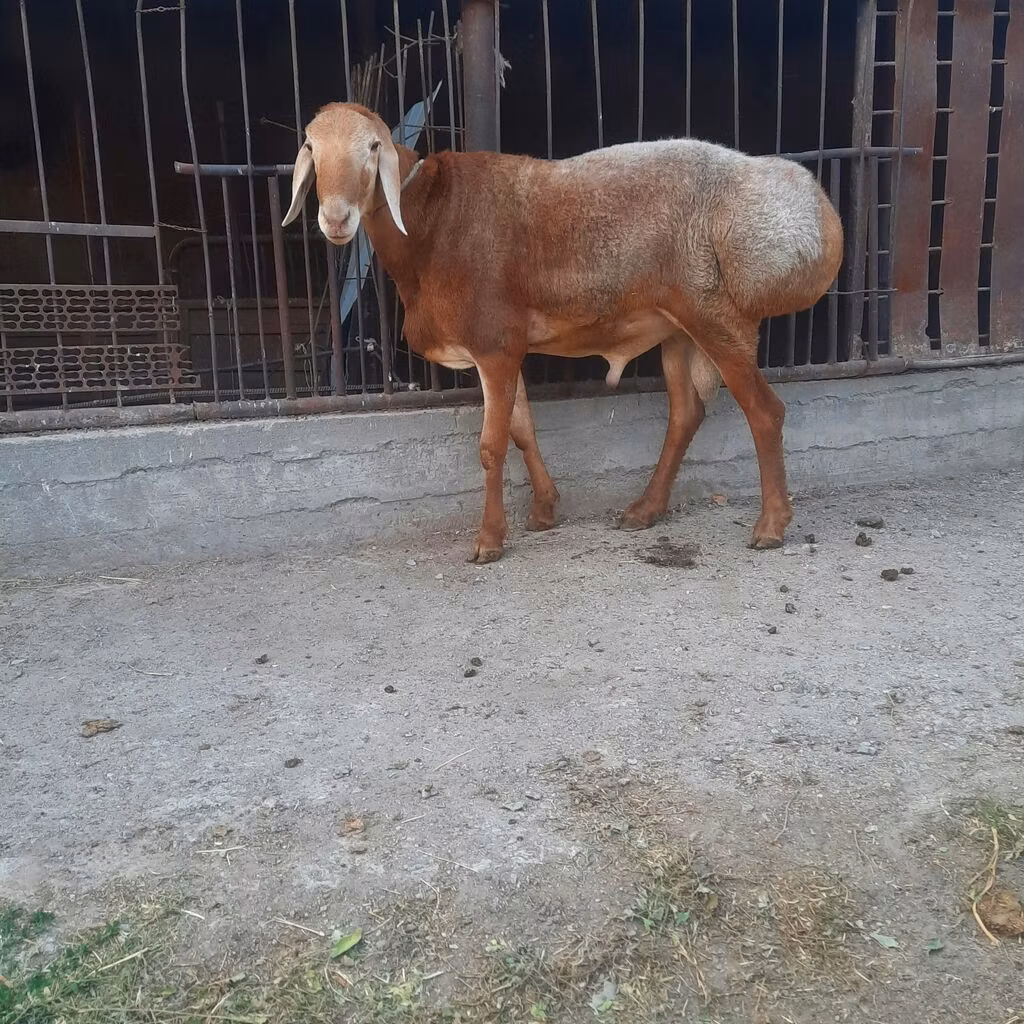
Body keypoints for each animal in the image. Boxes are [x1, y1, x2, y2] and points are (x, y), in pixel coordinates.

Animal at [282, 102, 844, 564]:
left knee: (765, 412)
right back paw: (645, 509)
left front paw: (489, 540)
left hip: (716, 316)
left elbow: (491, 445)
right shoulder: (505, 347)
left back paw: (770, 526)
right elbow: (522, 431)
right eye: (312, 148)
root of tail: (821, 217)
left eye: (373, 147)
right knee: (686, 413)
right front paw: (544, 511)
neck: (429, 226)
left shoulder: (493, 344)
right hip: (677, 329)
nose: (336, 219)